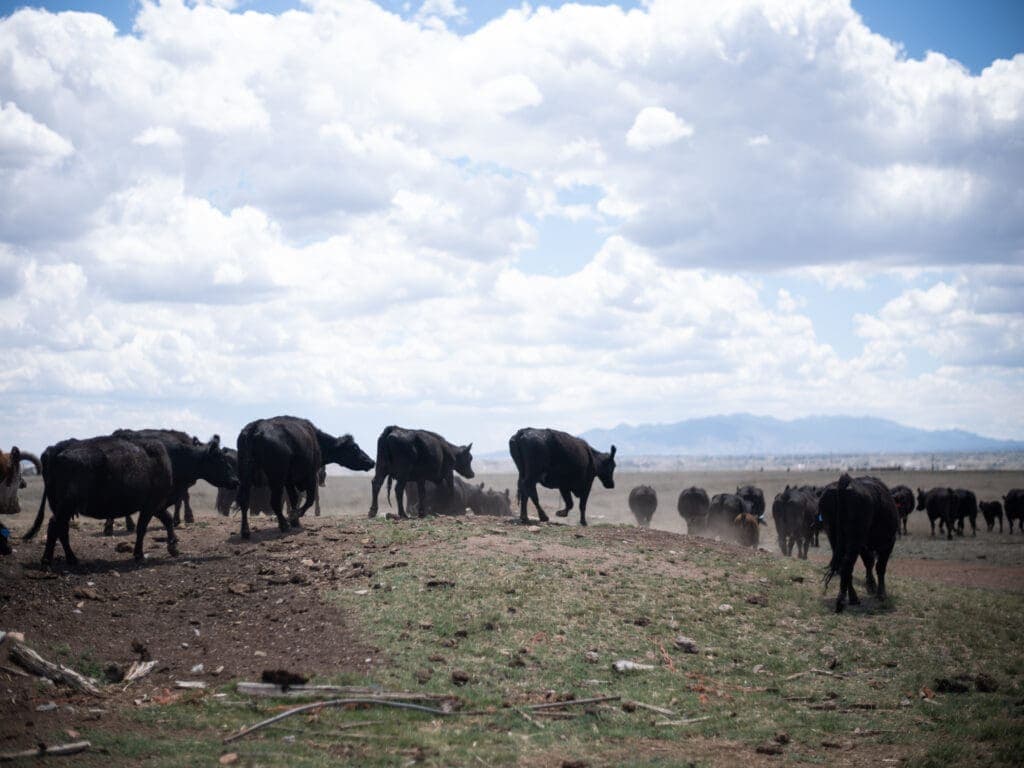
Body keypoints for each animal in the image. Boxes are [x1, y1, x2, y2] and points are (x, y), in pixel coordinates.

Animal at [22, 434, 238, 567]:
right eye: (220, 459)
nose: (236, 481)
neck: (170, 458)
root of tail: (55, 452)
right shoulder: (151, 504)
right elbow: (142, 528)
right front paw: (139, 554)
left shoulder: (157, 503)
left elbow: (168, 520)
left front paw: (173, 546)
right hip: (66, 505)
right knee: (54, 526)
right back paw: (48, 560)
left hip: (62, 506)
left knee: (62, 529)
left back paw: (71, 559)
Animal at [237, 416, 374, 539]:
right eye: (355, 447)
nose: (371, 461)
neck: (316, 440)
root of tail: (255, 427)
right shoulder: (310, 476)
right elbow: (309, 499)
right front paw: (295, 516)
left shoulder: (289, 481)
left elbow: (294, 498)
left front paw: (295, 521)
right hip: (276, 479)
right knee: (274, 501)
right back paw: (284, 525)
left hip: (246, 475)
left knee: (244, 501)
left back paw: (245, 531)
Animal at [819, 474, 899, 613]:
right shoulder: (888, 543)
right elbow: (880, 567)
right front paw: (881, 593)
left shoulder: (864, 546)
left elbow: (869, 562)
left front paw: (871, 585)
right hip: (855, 540)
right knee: (847, 565)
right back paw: (841, 602)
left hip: (834, 537)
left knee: (844, 566)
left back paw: (852, 598)